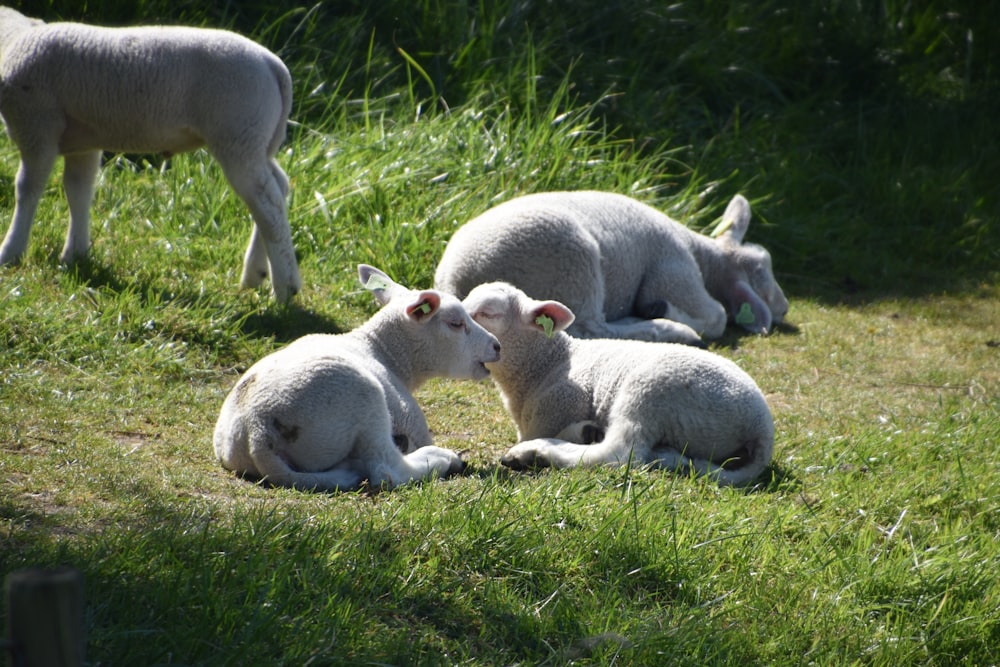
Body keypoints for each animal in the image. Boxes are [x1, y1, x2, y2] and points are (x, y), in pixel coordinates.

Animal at [0, 5, 300, 300]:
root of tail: (274, 65)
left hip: (237, 135)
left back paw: (285, 288)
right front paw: (75, 254)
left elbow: (27, 188)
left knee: (268, 205)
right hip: (256, 141)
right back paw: (255, 275)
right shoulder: (83, 141)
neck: (14, 37)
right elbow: (78, 191)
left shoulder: (36, 124)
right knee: (278, 187)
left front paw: (11, 252)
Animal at [216, 264, 504, 490]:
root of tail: (258, 432)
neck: (385, 352)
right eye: (456, 323)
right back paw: (441, 458)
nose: (496, 346)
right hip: (366, 402)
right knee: (387, 470)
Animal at [438, 189, 788, 342]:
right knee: (591, 329)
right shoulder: (674, 273)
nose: (785, 307)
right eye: (762, 272)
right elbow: (717, 317)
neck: (703, 254)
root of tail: (457, 278)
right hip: (574, 263)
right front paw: (665, 312)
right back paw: (668, 327)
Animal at [464, 280, 776, 488]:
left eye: (488, 313)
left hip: (650, 393)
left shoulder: (557, 407)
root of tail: (761, 427)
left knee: (619, 454)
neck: (547, 363)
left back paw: (537, 451)